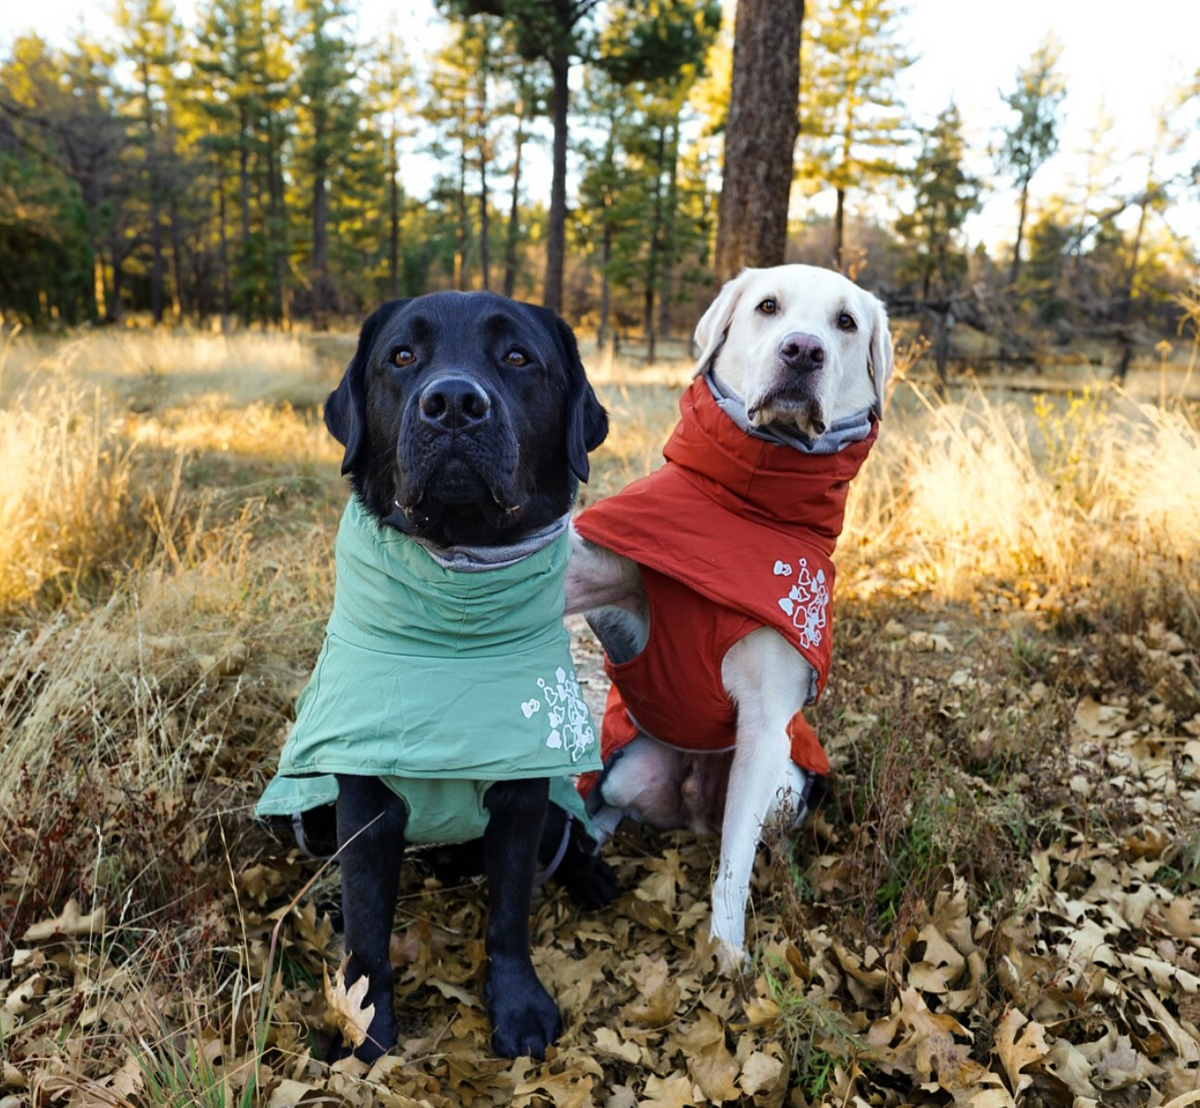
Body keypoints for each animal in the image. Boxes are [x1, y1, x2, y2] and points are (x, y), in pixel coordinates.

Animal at [266, 290, 614, 1061]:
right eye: (401, 356)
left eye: (517, 356)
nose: (453, 402)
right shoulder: (365, 799)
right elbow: (369, 924)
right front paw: (366, 1023)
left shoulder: (524, 792)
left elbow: (509, 913)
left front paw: (518, 1007)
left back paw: (595, 875)